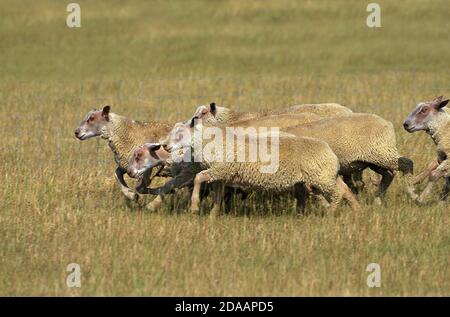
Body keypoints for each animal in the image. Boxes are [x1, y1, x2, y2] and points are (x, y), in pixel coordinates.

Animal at [284, 113, 414, 202]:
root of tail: (387, 123)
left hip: (382, 152)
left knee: (407, 164)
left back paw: (411, 192)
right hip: (374, 160)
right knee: (388, 175)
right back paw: (378, 198)